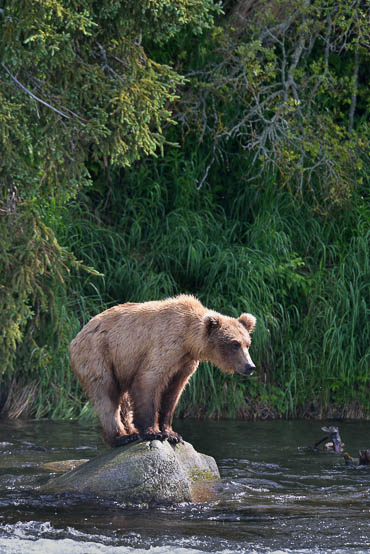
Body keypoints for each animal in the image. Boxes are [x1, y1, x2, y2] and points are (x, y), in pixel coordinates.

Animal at [69, 294, 256, 444]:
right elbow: (149, 381)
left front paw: (172, 434)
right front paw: (153, 432)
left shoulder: (184, 363)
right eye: (234, 344)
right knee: (107, 395)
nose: (250, 366)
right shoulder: (165, 345)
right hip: (99, 354)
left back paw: (132, 431)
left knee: (123, 399)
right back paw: (122, 437)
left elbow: (173, 393)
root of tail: (76, 337)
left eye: (247, 343)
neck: (188, 340)